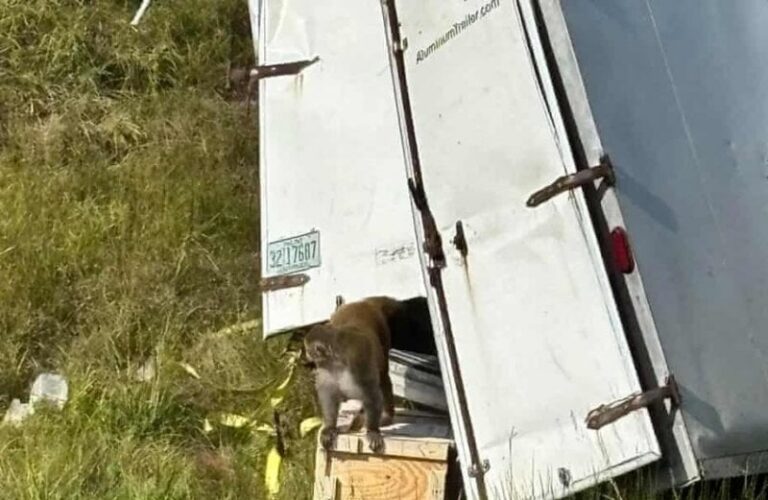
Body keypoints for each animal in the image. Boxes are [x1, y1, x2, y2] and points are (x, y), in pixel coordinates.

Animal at [304, 296, 400, 453]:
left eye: (308, 349)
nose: (306, 355)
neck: (337, 359)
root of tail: (362, 302)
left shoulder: (358, 361)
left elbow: (371, 393)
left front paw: (372, 431)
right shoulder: (325, 367)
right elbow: (328, 393)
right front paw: (330, 427)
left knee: (383, 376)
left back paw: (386, 415)